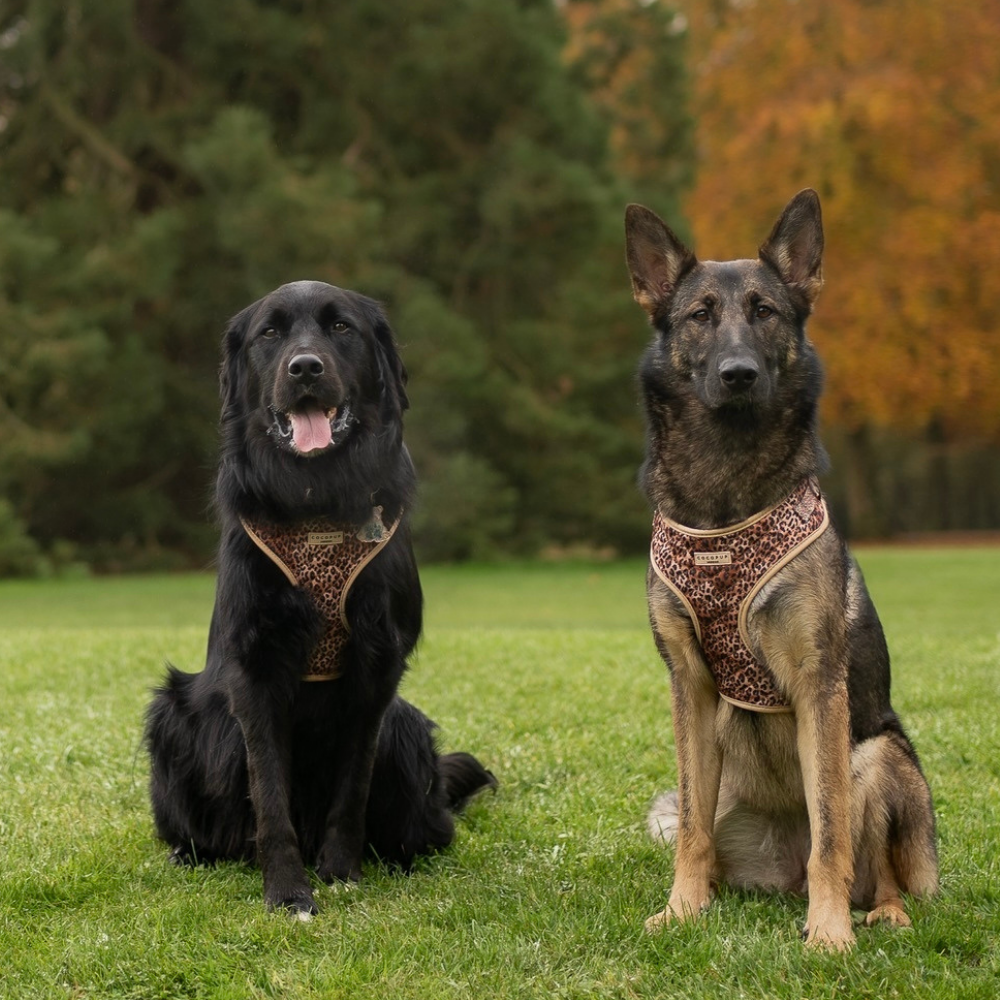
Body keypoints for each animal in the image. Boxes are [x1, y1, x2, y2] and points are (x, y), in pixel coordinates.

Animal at [145, 280, 496, 916]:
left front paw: (340, 872)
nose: (305, 367)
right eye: (270, 333)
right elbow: (269, 792)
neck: (316, 498)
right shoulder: (255, 667)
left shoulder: (378, 666)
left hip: (405, 731)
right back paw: (191, 851)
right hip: (174, 714)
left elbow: (351, 786)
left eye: (341, 328)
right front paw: (287, 891)